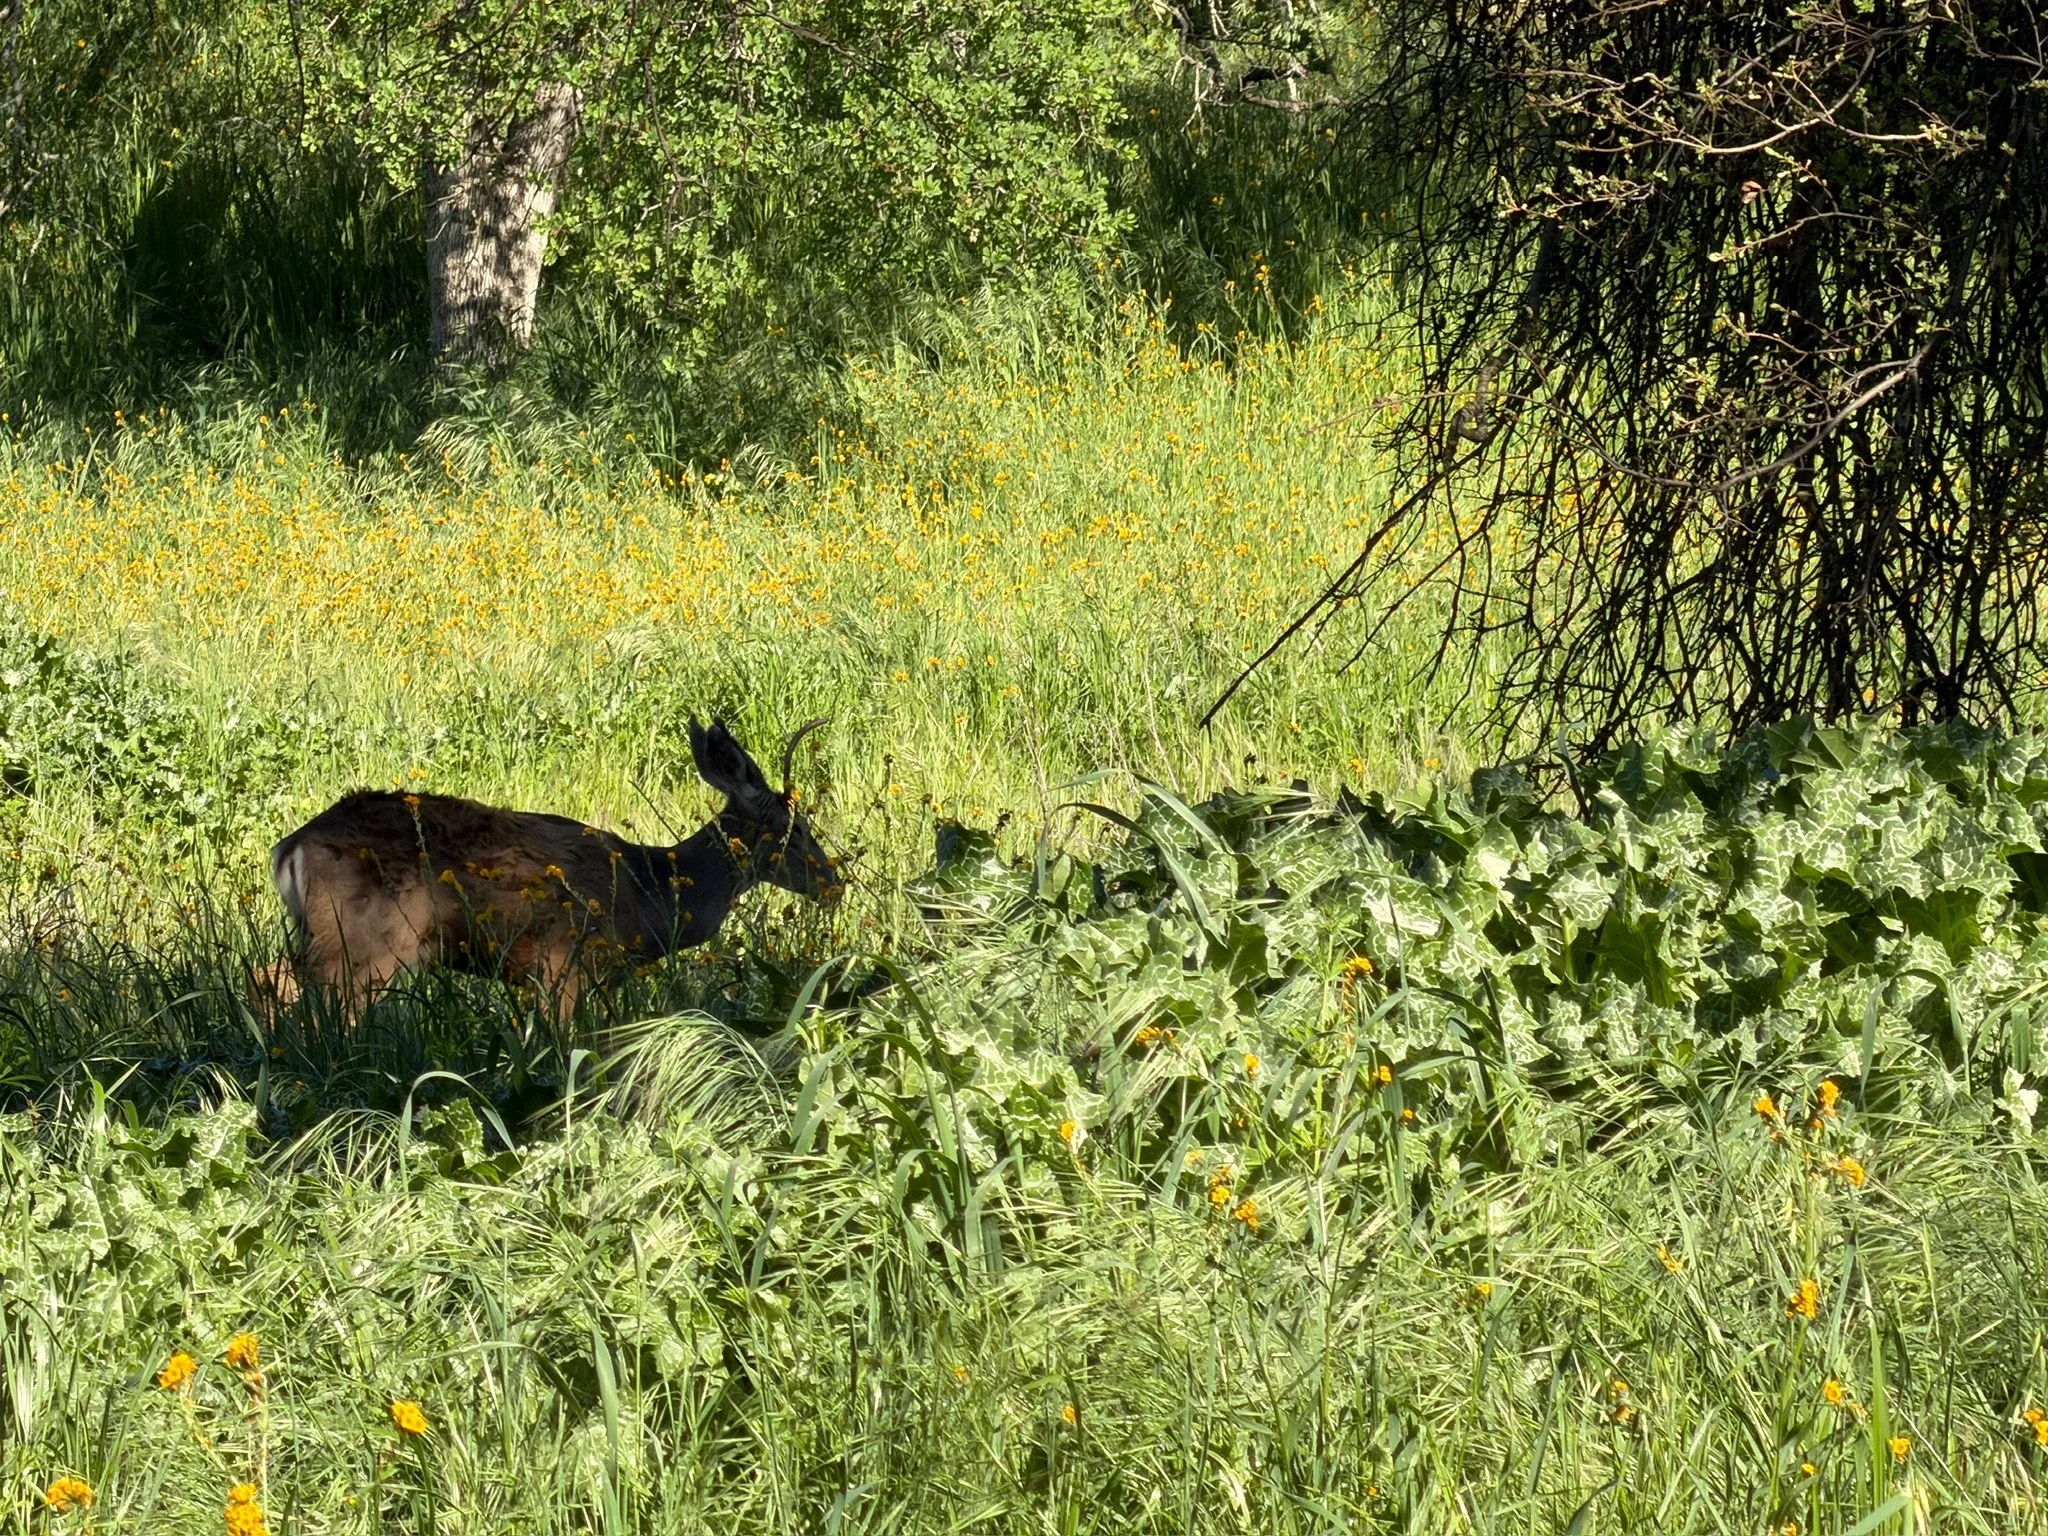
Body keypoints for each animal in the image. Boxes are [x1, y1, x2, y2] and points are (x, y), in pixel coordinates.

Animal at [253, 717, 840, 1022]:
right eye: (798, 828)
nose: (833, 881)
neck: (648, 891)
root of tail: (290, 846)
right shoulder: (564, 961)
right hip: (364, 943)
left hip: (322, 937)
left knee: (271, 977)